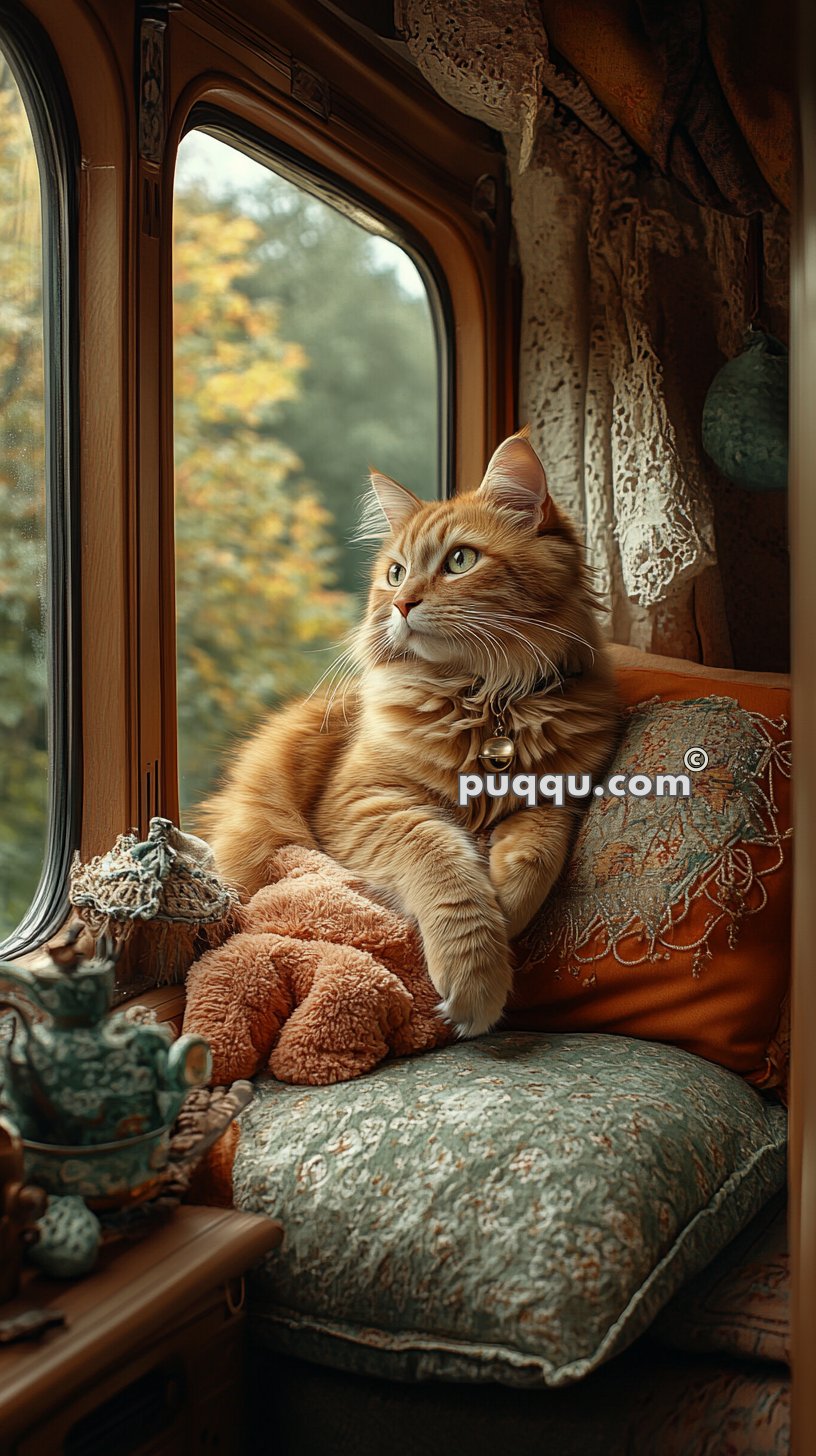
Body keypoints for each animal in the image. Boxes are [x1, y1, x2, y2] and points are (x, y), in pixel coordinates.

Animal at [198, 428, 617, 1036]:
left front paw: (509, 906)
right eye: (395, 573)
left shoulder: (561, 796)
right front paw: (477, 974)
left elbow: (537, 853)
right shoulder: (365, 803)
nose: (401, 603)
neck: (484, 701)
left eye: (460, 560)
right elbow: (444, 865)